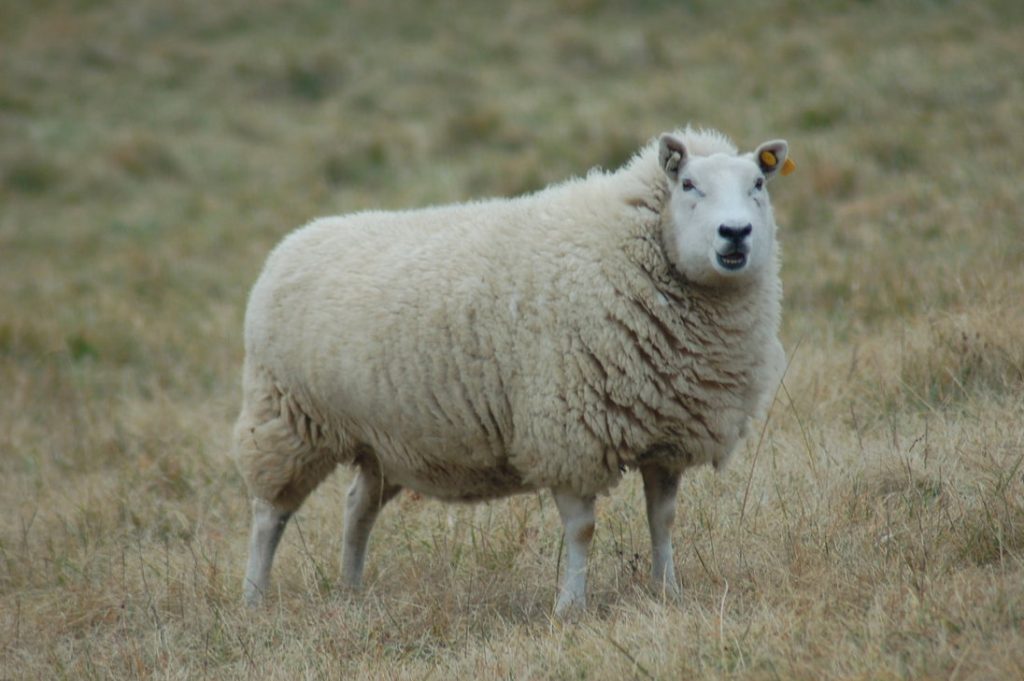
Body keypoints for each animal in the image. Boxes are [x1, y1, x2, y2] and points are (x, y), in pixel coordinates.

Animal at [233, 126, 791, 616]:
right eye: (689, 184)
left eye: (758, 185)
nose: (735, 233)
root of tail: (292, 242)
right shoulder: (568, 432)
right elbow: (583, 529)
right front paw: (570, 608)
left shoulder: (667, 435)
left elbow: (664, 520)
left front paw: (667, 591)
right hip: (286, 416)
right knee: (269, 514)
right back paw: (254, 599)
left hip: (382, 442)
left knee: (357, 509)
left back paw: (350, 591)